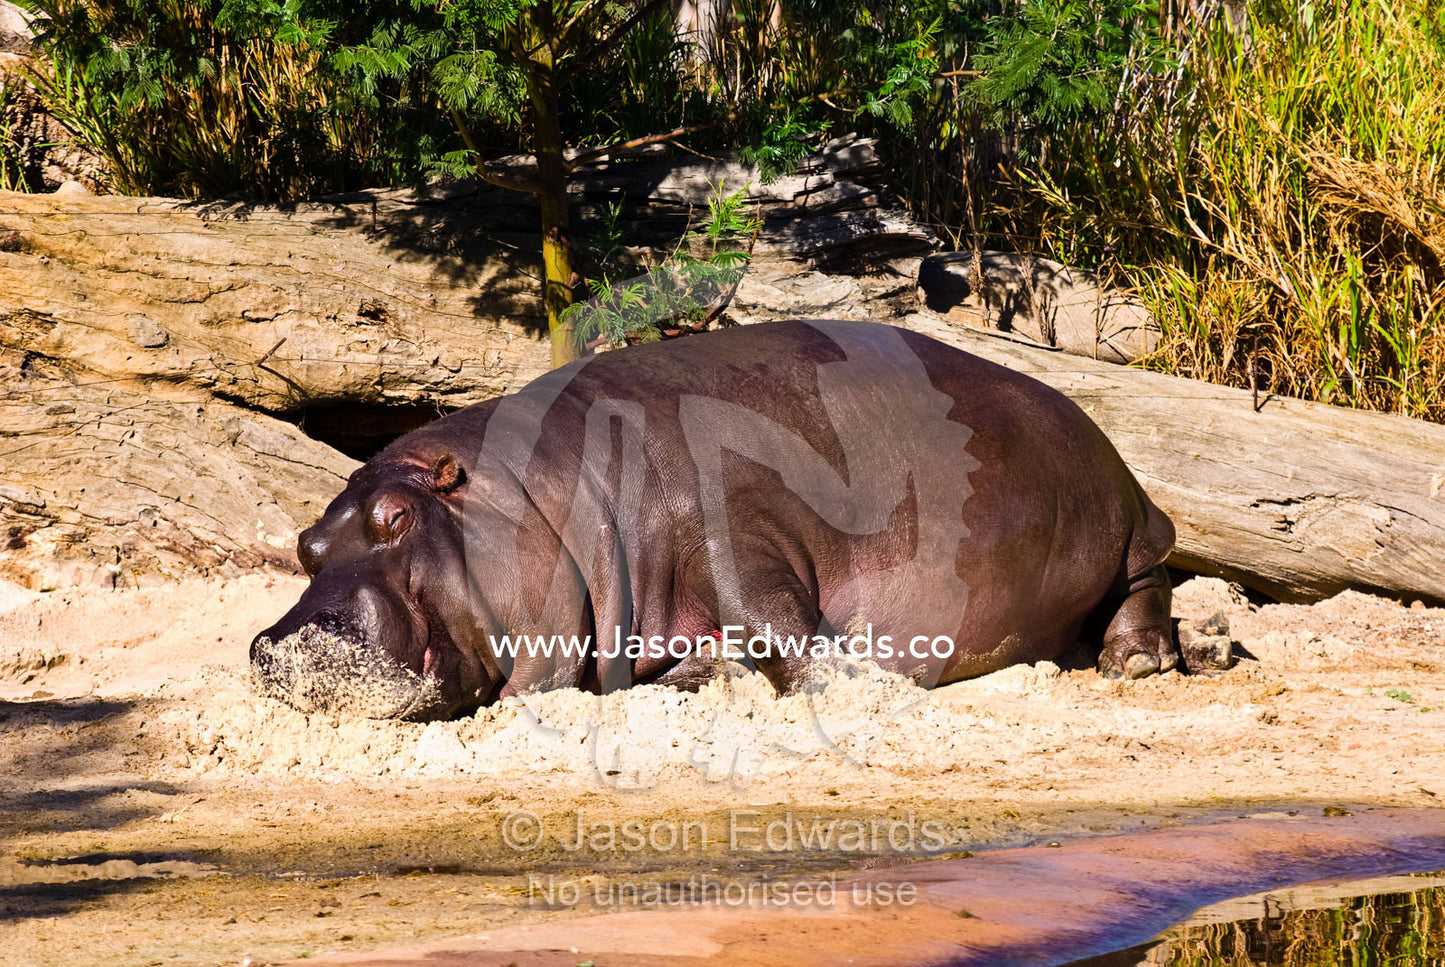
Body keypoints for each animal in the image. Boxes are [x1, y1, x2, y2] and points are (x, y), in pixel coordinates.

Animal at [251, 319, 1177, 720]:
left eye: (397, 515)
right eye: (304, 543)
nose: (279, 642)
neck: (531, 493)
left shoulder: (731, 525)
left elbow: (770, 615)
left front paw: (843, 686)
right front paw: (700, 677)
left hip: (1127, 528)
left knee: (1147, 582)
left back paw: (1136, 663)